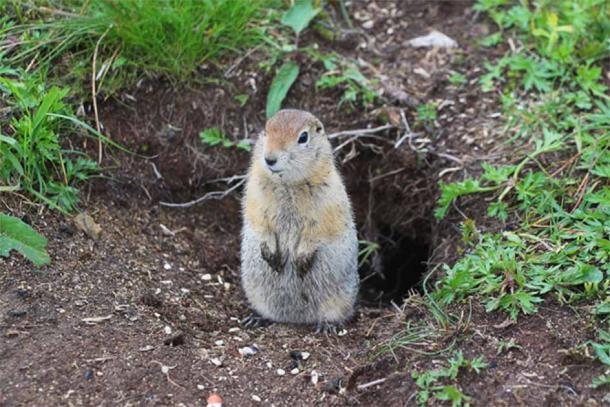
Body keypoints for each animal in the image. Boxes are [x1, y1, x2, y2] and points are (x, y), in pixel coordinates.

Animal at [240, 109, 358, 334]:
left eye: (303, 137)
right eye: (266, 130)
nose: (269, 159)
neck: (288, 184)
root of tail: (295, 319)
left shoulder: (328, 201)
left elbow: (317, 230)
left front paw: (300, 260)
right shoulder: (254, 194)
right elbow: (259, 222)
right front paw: (271, 254)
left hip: (340, 299)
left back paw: (327, 326)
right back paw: (256, 318)